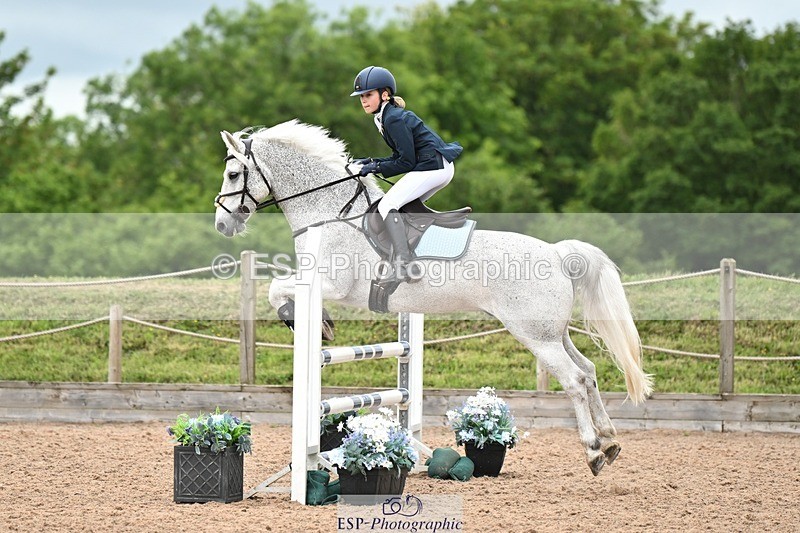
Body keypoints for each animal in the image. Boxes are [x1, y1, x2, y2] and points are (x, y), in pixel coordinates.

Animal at [213, 119, 653, 476]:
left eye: (234, 173)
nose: (222, 224)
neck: (329, 212)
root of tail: (558, 253)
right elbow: (278, 287)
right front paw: (316, 323)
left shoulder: (330, 284)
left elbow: (277, 287)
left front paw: (307, 322)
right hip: (553, 332)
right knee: (590, 371)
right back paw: (611, 441)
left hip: (535, 335)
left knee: (575, 380)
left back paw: (594, 451)